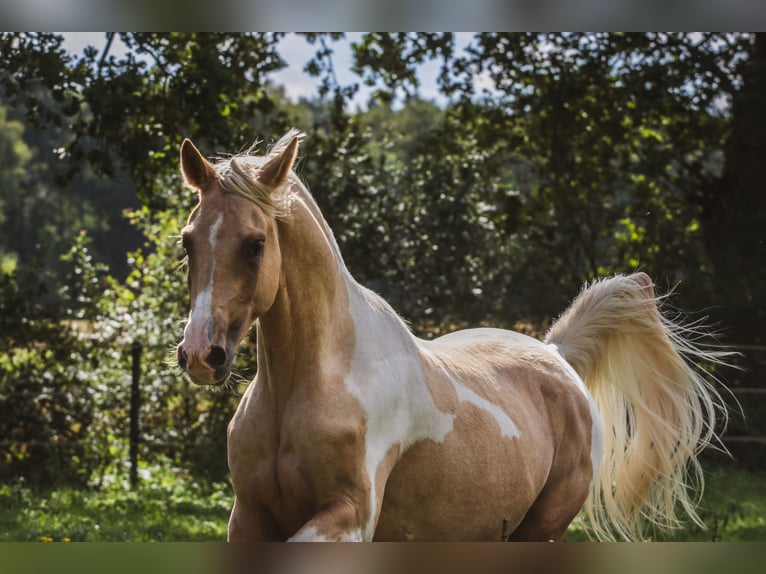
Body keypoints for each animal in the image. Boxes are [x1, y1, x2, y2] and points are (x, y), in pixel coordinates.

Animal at [175, 129, 727, 541]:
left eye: (255, 244)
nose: (201, 354)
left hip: (541, 529)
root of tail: (556, 354)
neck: (311, 384)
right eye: (187, 242)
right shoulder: (248, 518)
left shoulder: (348, 517)